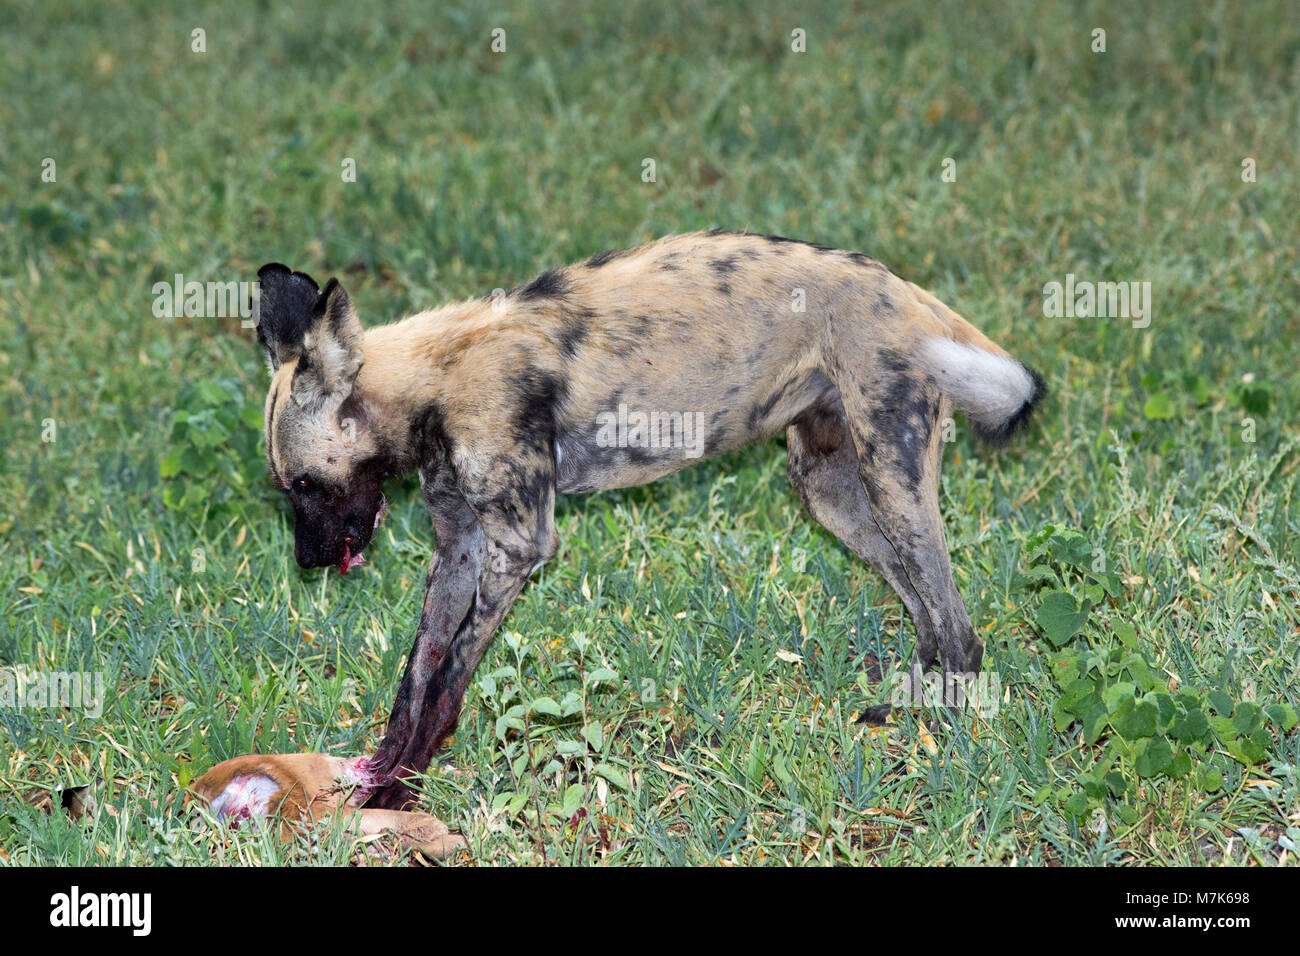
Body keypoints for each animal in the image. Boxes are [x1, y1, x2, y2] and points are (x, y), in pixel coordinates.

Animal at [250, 231, 1045, 806]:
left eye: (305, 484)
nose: (307, 562)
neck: (433, 384)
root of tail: (903, 290)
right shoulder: (461, 550)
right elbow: (416, 678)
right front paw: (386, 771)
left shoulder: (518, 546)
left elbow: (447, 683)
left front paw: (398, 797)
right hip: (833, 495)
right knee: (929, 616)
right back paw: (906, 711)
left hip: (891, 481)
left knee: (962, 633)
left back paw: (939, 740)